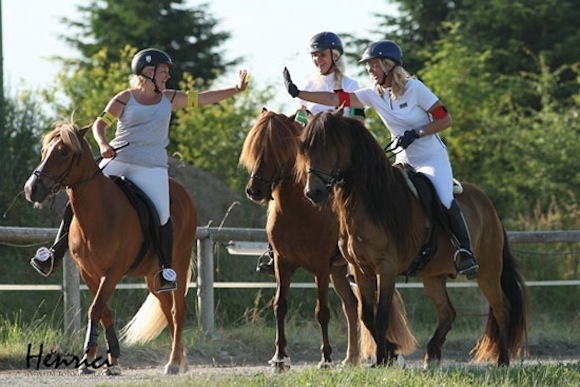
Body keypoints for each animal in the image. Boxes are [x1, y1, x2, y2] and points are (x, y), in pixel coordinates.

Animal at [23, 122, 197, 376]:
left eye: (63, 152)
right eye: (44, 151)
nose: (31, 189)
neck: (99, 214)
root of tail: (184, 193)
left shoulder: (113, 272)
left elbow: (95, 309)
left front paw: (89, 359)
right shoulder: (88, 273)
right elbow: (104, 312)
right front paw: (110, 360)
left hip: (179, 265)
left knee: (178, 312)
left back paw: (174, 363)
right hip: (152, 276)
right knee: (167, 311)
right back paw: (180, 361)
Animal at [239, 108, 416, 370]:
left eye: (280, 148)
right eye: (256, 147)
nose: (255, 190)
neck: (300, 211)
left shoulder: (320, 266)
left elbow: (321, 311)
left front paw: (325, 358)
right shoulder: (282, 263)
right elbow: (280, 305)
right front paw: (280, 357)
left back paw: (389, 353)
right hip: (339, 271)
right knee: (352, 306)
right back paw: (351, 357)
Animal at [296, 110, 528, 368]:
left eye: (329, 146)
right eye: (304, 148)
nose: (312, 193)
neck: (370, 201)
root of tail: (488, 205)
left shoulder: (386, 268)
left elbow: (381, 314)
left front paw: (383, 358)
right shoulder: (360, 268)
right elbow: (367, 315)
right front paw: (390, 353)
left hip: (488, 270)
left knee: (502, 308)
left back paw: (503, 360)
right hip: (433, 275)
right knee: (448, 312)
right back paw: (432, 354)